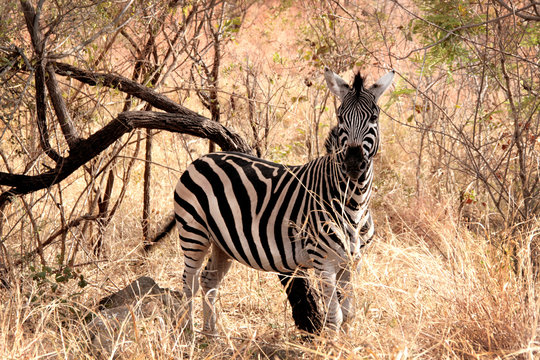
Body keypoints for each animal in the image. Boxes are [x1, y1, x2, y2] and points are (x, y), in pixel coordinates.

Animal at [175, 66, 394, 334]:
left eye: (374, 117)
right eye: (341, 118)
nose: (353, 162)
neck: (354, 204)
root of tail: (202, 158)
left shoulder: (354, 261)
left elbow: (349, 315)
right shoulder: (323, 262)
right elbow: (335, 318)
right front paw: (330, 343)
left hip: (221, 242)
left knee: (209, 280)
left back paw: (211, 334)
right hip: (194, 232)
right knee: (189, 282)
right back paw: (187, 334)